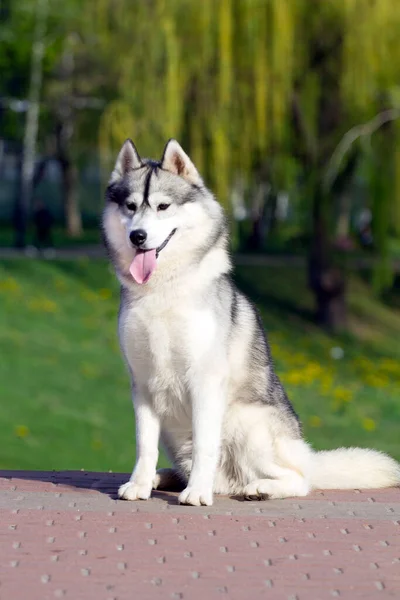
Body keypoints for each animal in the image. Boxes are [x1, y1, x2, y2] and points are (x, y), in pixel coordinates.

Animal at [103, 139, 400, 506]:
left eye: (162, 206)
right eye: (130, 206)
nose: (138, 236)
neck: (163, 290)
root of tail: (307, 454)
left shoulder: (204, 379)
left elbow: (205, 446)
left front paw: (197, 493)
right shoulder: (143, 383)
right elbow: (145, 445)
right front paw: (140, 484)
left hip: (246, 424)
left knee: (300, 480)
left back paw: (258, 488)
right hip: (176, 433)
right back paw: (166, 477)